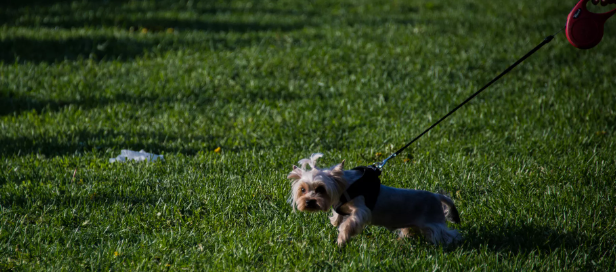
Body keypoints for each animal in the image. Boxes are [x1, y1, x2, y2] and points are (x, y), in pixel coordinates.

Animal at [288, 153, 462, 246]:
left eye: (321, 189)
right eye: (302, 190)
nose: (309, 202)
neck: (346, 185)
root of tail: (437, 196)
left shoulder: (361, 209)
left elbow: (350, 223)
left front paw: (342, 239)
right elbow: (339, 215)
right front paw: (335, 221)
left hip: (434, 222)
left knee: (447, 234)